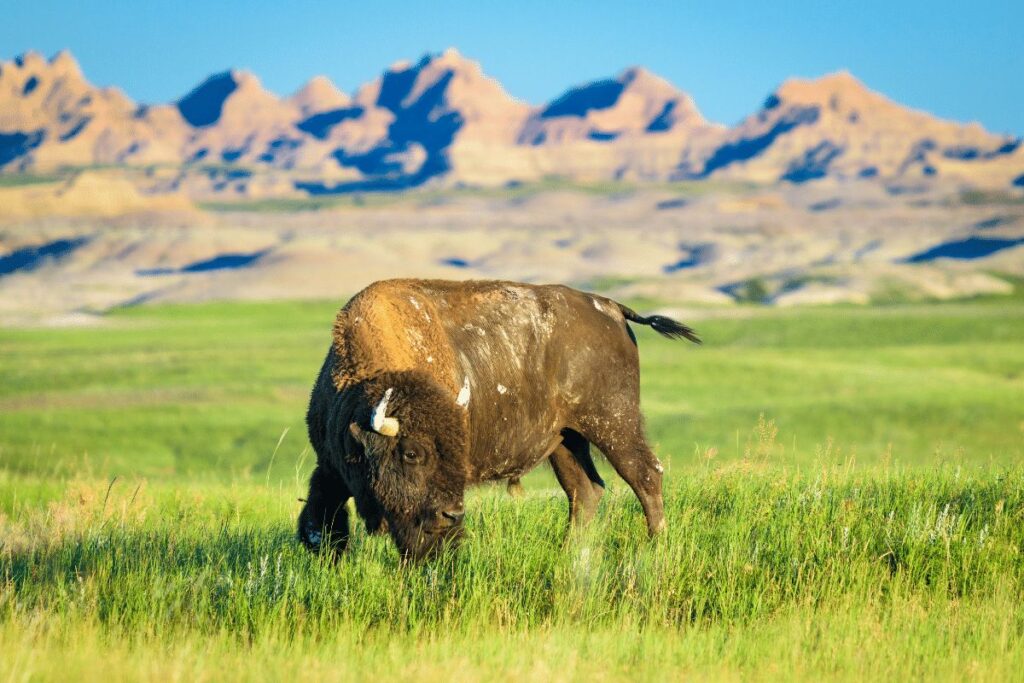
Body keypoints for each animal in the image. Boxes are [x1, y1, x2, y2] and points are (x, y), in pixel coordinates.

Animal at [296, 278, 696, 561]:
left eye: (456, 450)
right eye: (411, 453)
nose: (452, 514)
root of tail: (610, 307)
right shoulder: (329, 468)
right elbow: (319, 527)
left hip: (613, 423)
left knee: (645, 475)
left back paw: (656, 546)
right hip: (566, 439)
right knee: (585, 491)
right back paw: (571, 553)